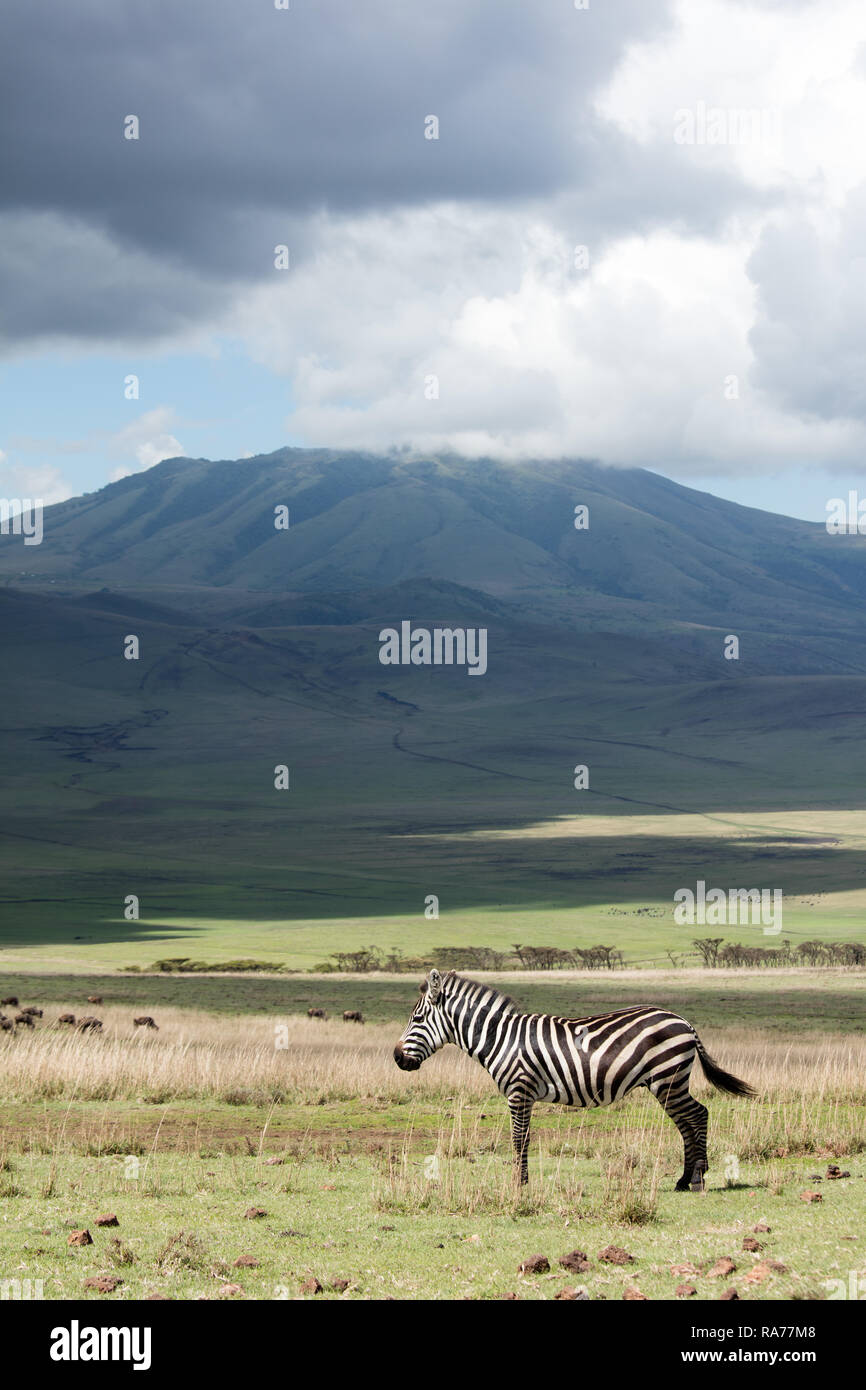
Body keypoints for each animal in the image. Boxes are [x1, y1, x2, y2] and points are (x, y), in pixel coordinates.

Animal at [394, 969, 755, 1190]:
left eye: (417, 1019)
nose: (397, 1058)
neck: (501, 1038)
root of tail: (684, 1021)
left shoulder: (519, 1090)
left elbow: (519, 1139)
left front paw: (519, 1185)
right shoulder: (523, 1094)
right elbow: (523, 1139)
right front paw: (523, 1182)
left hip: (668, 1078)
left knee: (699, 1115)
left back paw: (697, 1178)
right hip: (667, 1083)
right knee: (686, 1123)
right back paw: (683, 1179)